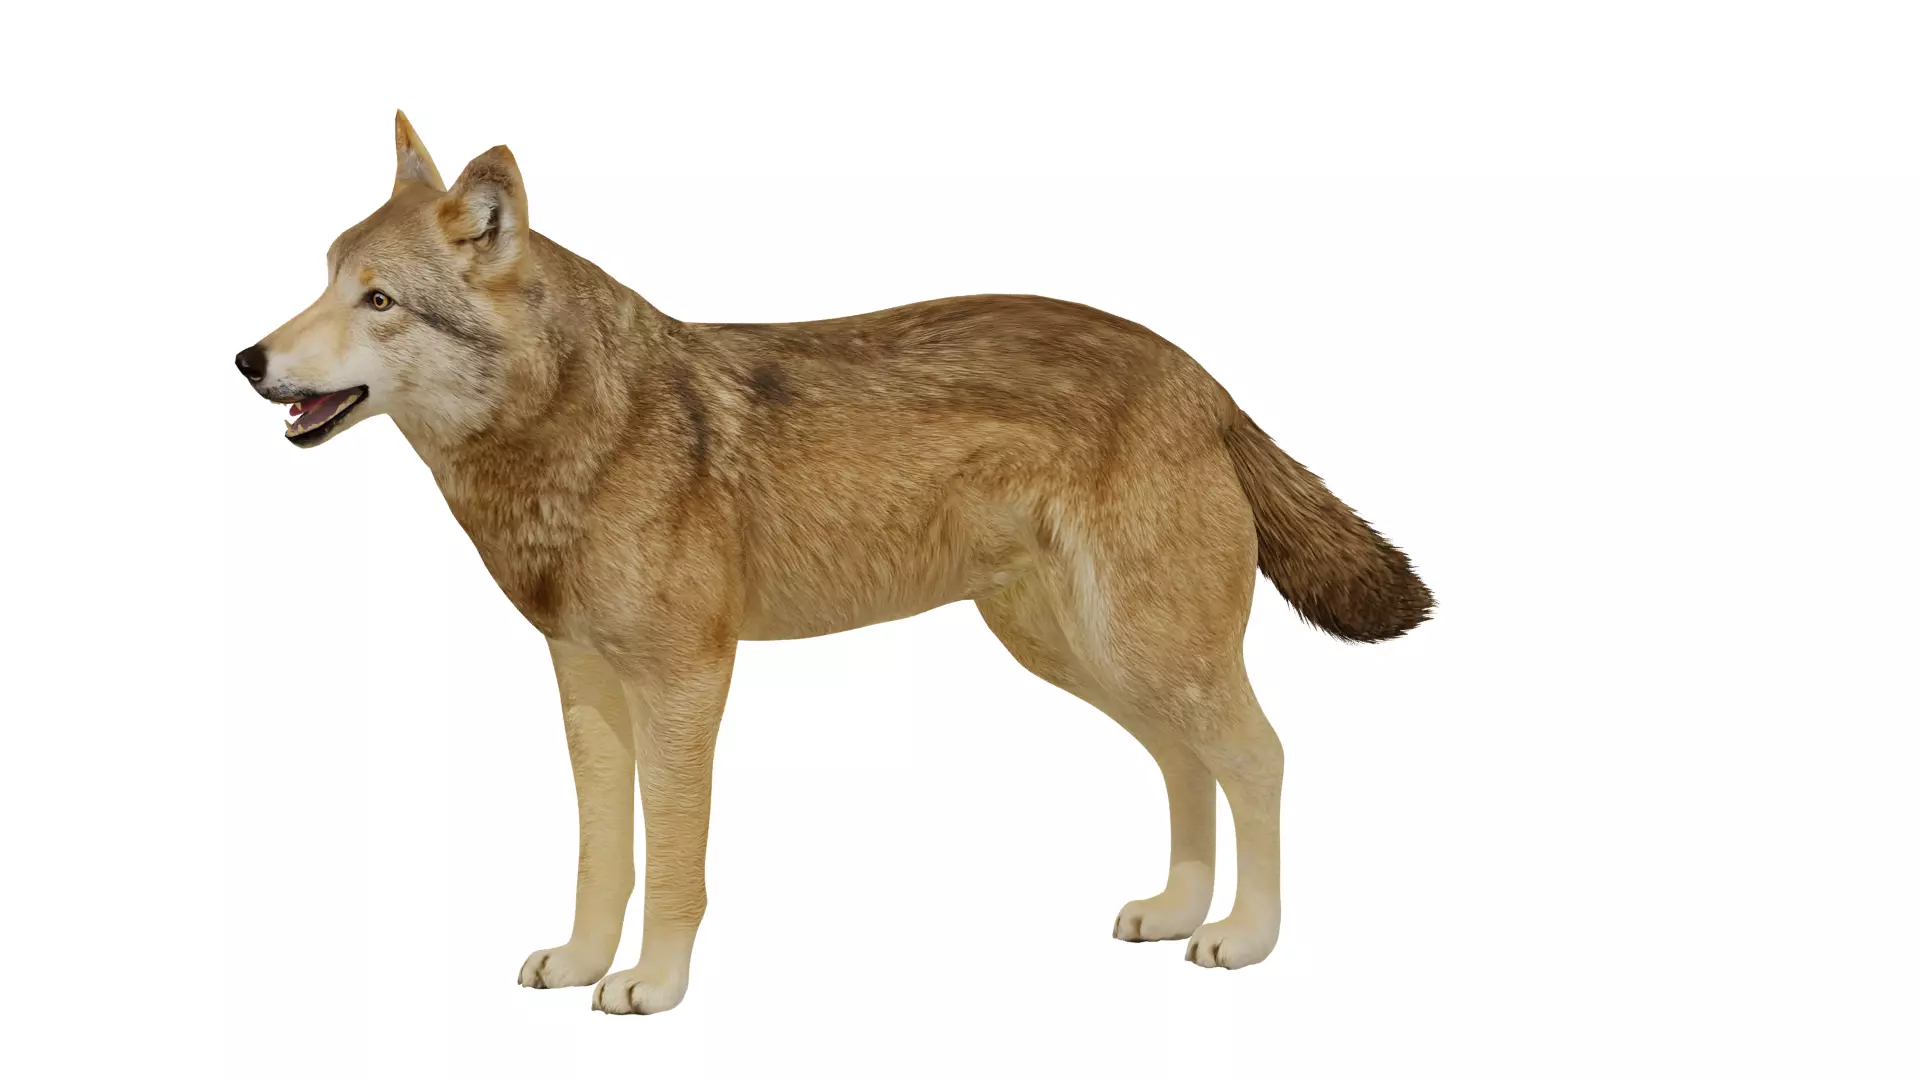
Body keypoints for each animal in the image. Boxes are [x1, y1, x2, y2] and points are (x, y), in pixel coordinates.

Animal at [237, 112, 1432, 1014]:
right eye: (324, 282)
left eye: (379, 300)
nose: (247, 358)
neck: (580, 432)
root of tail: (1202, 376)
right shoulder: (585, 687)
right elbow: (601, 856)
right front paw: (581, 964)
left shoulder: (687, 681)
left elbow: (674, 861)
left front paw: (652, 985)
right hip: (1085, 657)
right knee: (1187, 763)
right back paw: (1179, 910)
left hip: (1145, 649)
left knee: (1260, 756)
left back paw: (1245, 936)